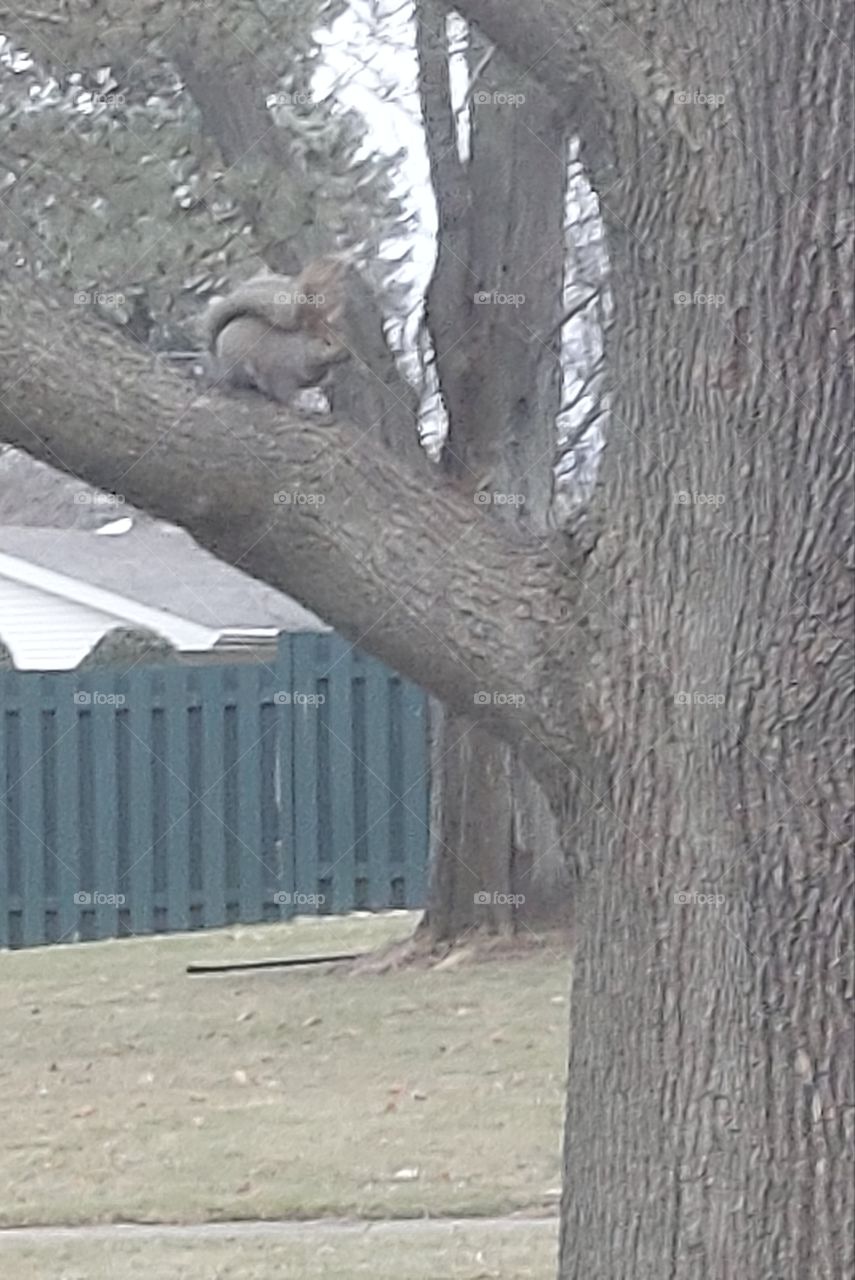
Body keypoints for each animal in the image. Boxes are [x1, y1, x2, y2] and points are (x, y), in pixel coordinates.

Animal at [203, 256, 351, 404]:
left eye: (343, 333)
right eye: (327, 343)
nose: (347, 355)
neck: (303, 350)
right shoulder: (282, 372)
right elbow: (283, 392)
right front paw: (297, 399)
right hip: (238, 367)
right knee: (236, 384)